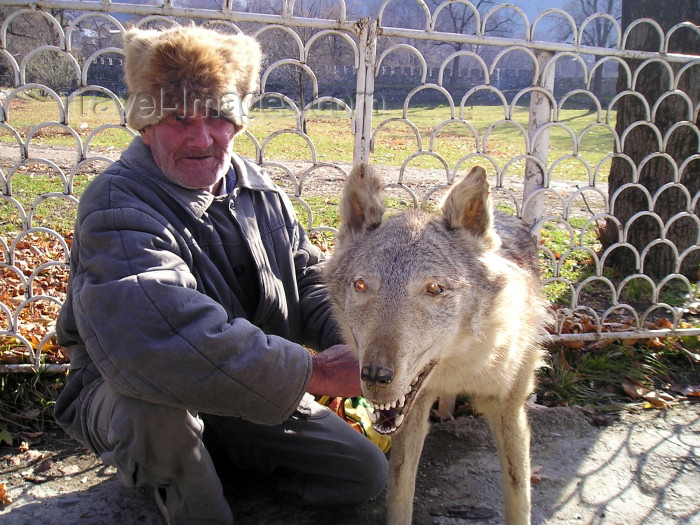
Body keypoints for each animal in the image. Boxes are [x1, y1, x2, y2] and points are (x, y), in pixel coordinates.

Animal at [322, 164, 548, 524]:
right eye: (361, 285)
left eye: (433, 288)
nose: (375, 376)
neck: (462, 364)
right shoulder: (410, 414)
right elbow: (400, 496)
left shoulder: (509, 409)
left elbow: (519, 497)